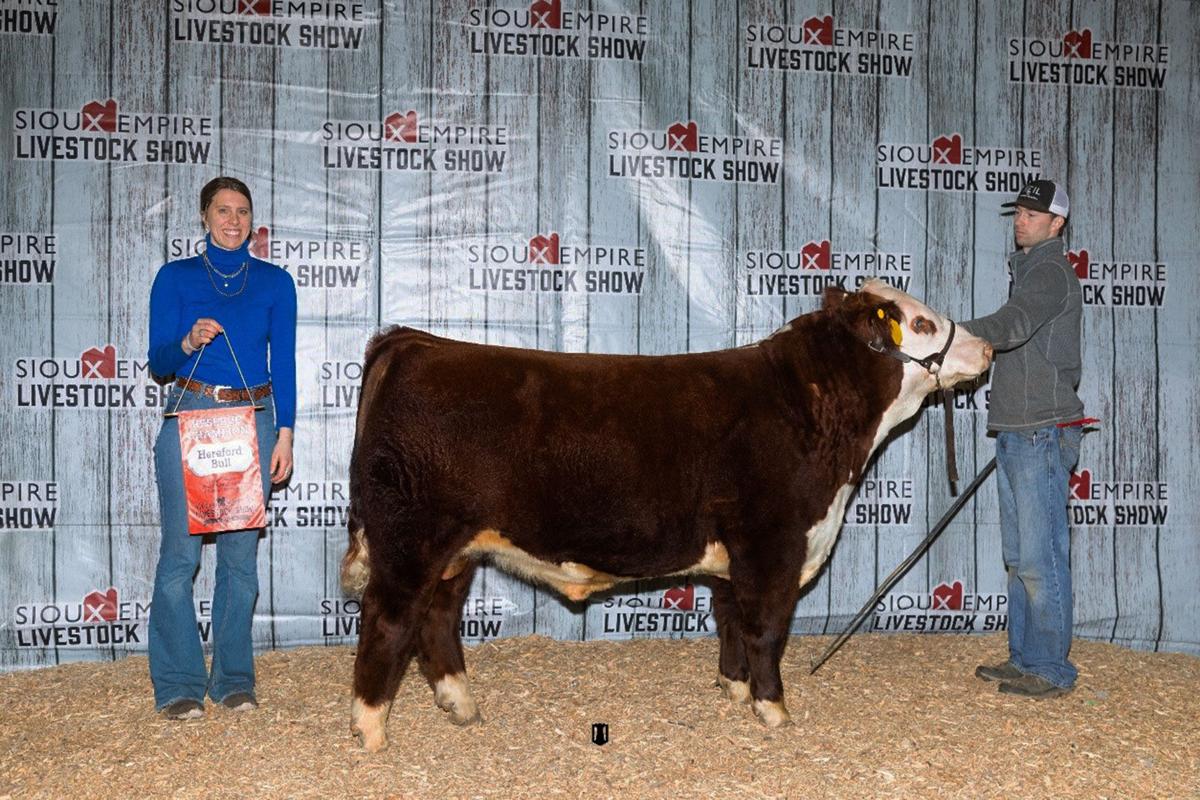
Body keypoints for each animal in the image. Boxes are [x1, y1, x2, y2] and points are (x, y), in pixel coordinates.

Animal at [340, 280, 992, 751]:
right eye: (922, 323)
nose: (986, 348)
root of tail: (413, 342)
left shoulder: (734, 555)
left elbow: (730, 621)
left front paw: (734, 691)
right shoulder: (772, 543)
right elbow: (766, 629)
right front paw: (774, 710)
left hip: (456, 548)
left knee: (438, 618)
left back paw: (461, 705)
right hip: (412, 541)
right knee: (390, 620)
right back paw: (371, 729)